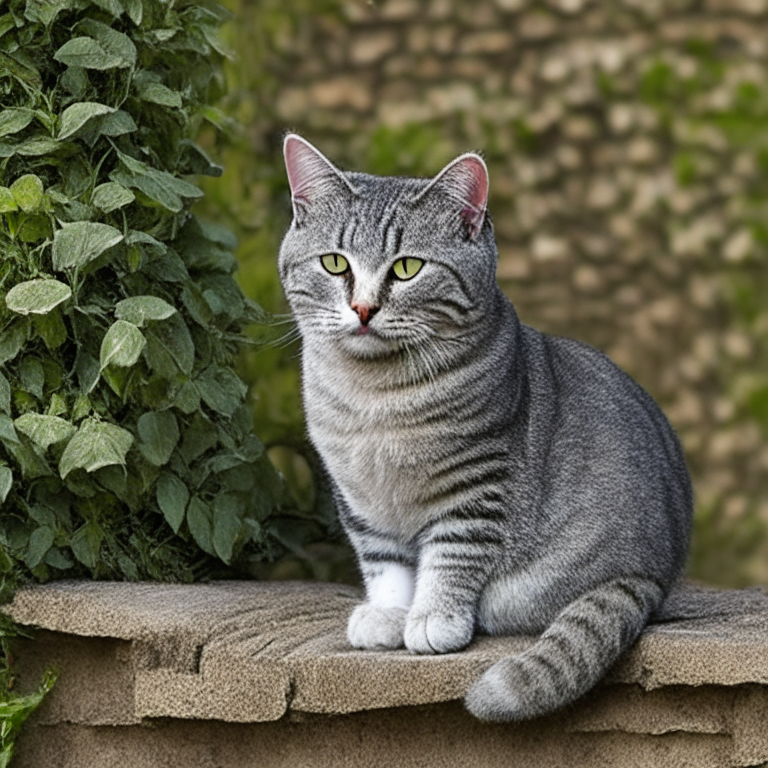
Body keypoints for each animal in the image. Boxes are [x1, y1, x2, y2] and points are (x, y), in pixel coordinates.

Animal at [280, 135, 692, 724]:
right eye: (334, 263)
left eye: (407, 268)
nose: (361, 309)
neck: (373, 396)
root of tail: (649, 575)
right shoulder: (356, 494)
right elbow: (384, 561)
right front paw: (388, 615)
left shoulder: (477, 483)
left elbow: (449, 557)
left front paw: (432, 619)